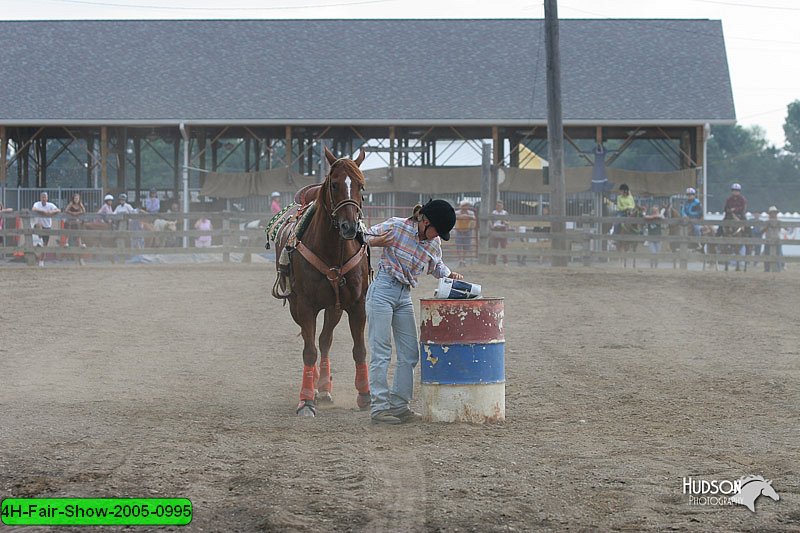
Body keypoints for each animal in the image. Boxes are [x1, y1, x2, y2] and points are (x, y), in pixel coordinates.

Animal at [268, 145, 368, 416]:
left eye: (361, 185)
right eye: (334, 184)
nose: (349, 227)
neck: (333, 252)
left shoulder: (357, 305)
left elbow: (358, 350)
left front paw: (365, 396)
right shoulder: (304, 306)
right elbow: (309, 351)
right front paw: (306, 401)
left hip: (334, 308)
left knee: (325, 340)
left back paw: (323, 388)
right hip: (296, 306)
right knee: (311, 341)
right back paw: (314, 389)